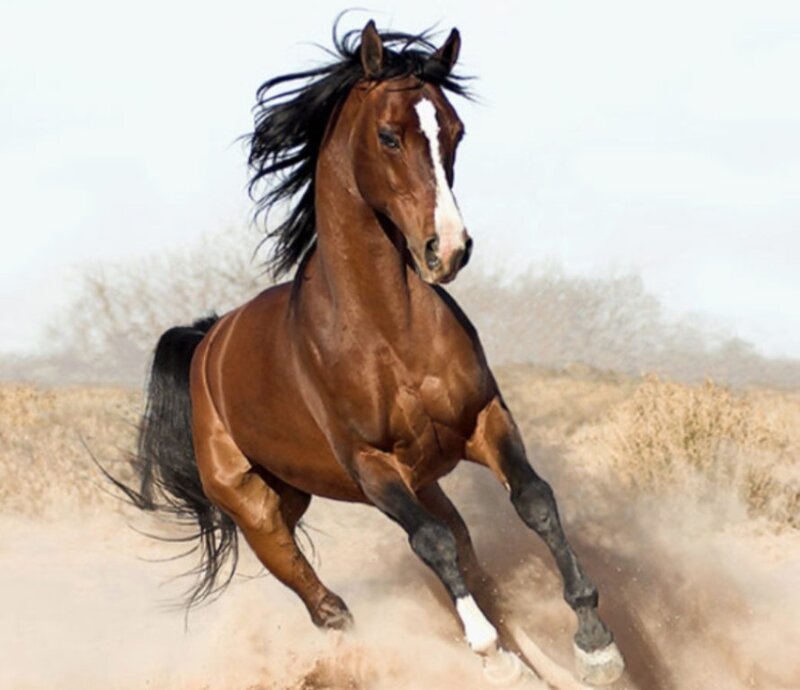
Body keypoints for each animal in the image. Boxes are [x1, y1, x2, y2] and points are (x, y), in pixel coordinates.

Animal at [119, 20, 624, 686]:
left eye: (455, 131)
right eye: (389, 135)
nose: (448, 249)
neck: (388, 330)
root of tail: (208, 343)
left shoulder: (485, 420)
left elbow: (534, 501)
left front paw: (595, 643)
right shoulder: (371, 466)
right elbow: (431, 545)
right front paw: (490, 654)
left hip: (404, 482)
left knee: (466, 557)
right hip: (259, 511)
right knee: (330, 606)